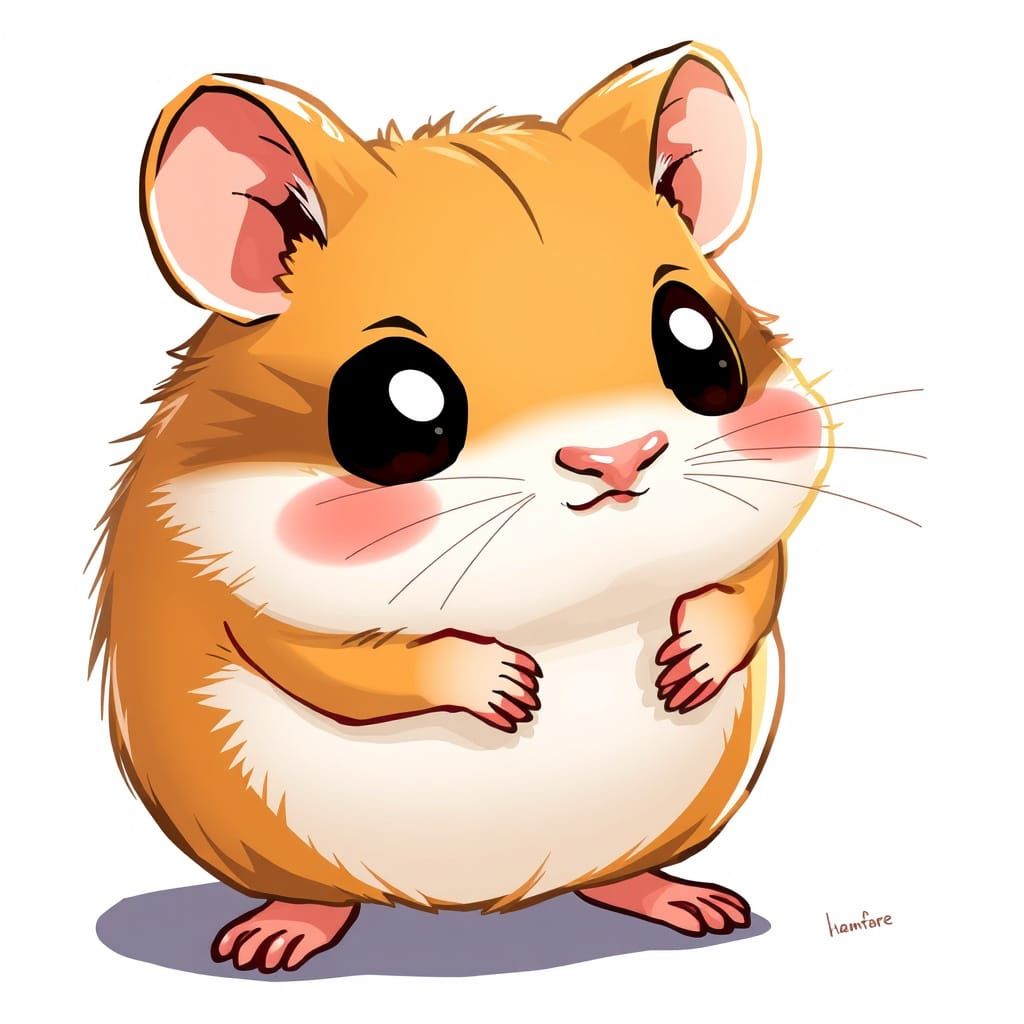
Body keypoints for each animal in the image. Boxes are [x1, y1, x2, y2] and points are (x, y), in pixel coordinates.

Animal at [92, 40, 832, 973]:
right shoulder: (232, 581)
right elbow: (323, 659)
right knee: (317, 895)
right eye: (393, 405)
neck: (574, 604)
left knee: (621, 879)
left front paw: (688, 663)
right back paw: (272, 939)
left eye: (703, 347)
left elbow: (757, 579)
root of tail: (474, 905)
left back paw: (693, 905)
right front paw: (510, 689)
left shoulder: (759, 530)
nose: (618, 457)